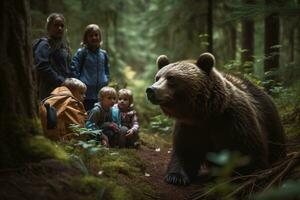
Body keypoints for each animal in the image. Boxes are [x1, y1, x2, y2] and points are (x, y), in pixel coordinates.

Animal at [145, 52, 286, 185]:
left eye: (171, 78)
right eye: (158, 77)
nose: (151, 90)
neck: (206, 115)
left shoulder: (234, 120)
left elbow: (249, 153)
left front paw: (243, 174)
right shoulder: (190, 127)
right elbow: (185, 151)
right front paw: (176, 177)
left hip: (271, 121)